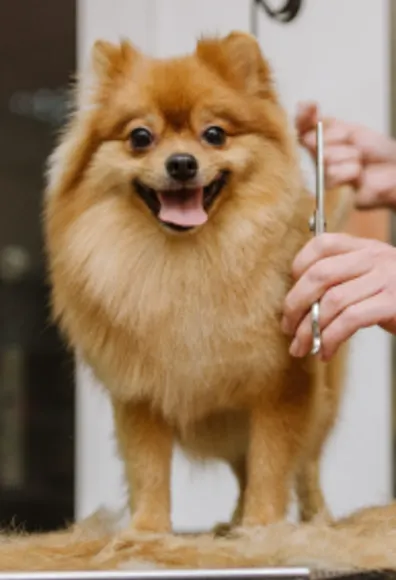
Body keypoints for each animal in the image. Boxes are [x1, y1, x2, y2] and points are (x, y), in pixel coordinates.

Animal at [44, 30, 350, 532]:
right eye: (141, 137)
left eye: (214, 134)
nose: (183, 163)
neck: (189, 262)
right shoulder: (139, 394)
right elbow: (148, 469)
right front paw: (147, 532)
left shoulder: (281, 387)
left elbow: (272, 466)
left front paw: (262, 529)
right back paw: (230, 524)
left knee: (304, 466)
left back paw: (312, 520)